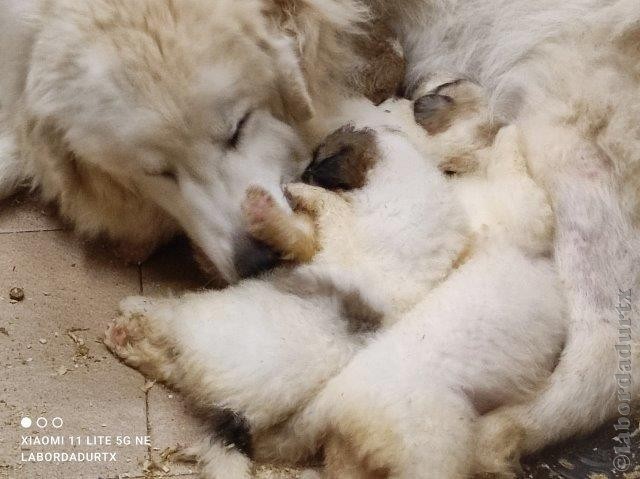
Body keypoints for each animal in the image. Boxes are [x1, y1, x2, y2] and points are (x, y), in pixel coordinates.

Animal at [106, 80, 568, 478]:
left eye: (316, 161)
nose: (297, 174)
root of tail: (234, 406)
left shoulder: (330, 232)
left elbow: (309, 218)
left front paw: (281, 200)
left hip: (203, 320)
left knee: (169, 323)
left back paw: (129, 319)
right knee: (168, 361)